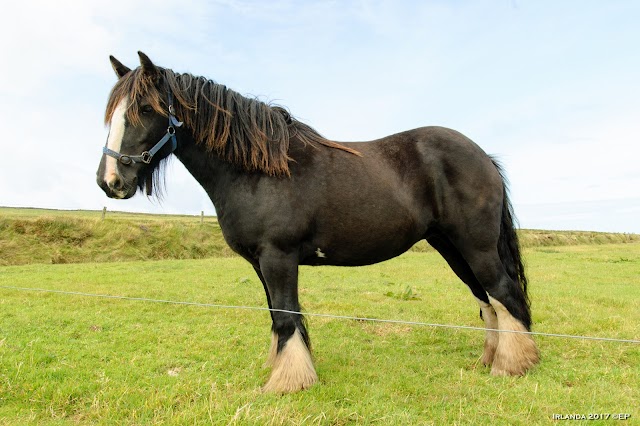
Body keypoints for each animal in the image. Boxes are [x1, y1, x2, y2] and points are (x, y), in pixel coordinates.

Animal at [96, 51, 540, 394]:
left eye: (146, 109)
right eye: (112, 114)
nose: (110, 181)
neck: (257, 170)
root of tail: (483, 156)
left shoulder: (278, 257)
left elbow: (286, 316)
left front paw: (288, 382)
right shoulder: (260, 264)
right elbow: (279, 317)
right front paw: (286, 371)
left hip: (475, 245)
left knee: (503, 292)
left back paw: (512, 366)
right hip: (450, 246)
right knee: (487, 300)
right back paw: (491, 360)